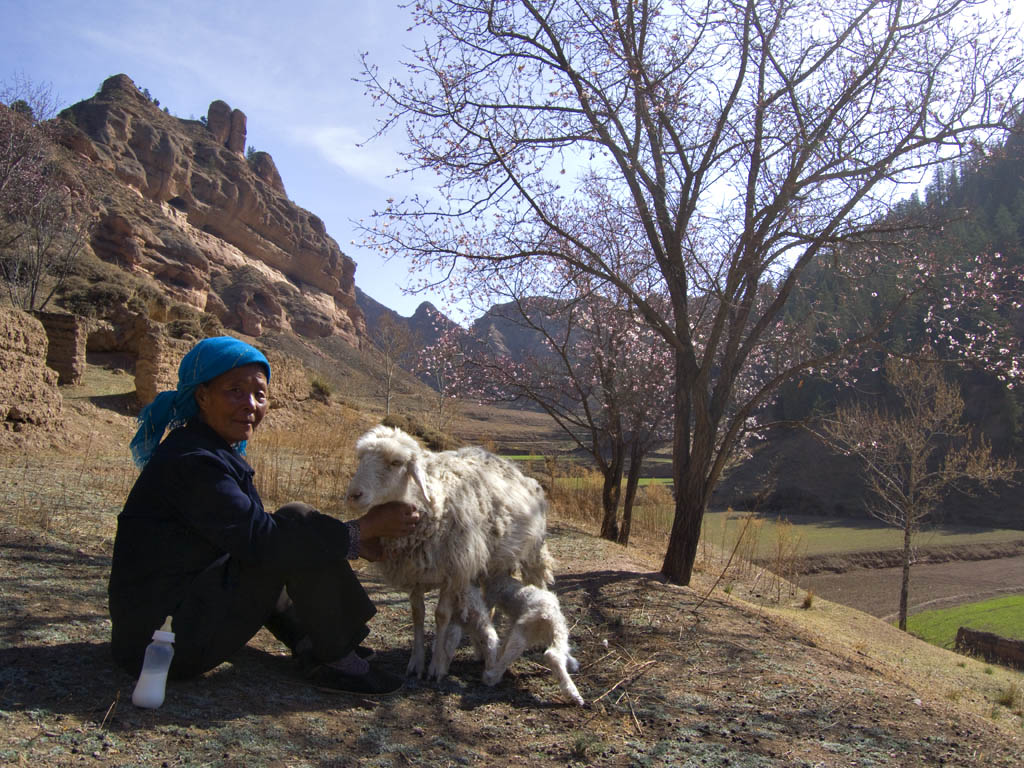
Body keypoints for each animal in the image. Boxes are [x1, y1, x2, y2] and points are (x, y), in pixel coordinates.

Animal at [344, 423, 552, 684]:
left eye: (395, 462)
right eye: (361, 459)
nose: (353, 496)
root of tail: (516, 469)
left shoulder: (453, 571)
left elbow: (441, 615)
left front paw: (435, 666)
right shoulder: (415, 571)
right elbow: (418, 614)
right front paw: (416, 663)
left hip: (533, 552)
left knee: (538, 584)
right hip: (492, 561)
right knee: (490, 600)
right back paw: (482, 648)